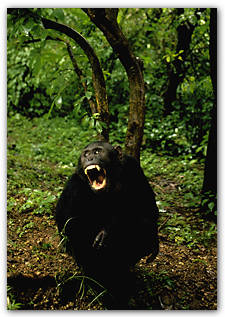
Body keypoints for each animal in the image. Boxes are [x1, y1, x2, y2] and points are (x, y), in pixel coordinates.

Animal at [55, 141, 159, 304]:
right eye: (86, 154)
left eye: (97, 152)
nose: (89, 158)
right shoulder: (73, 187)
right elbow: (68, 225)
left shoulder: (134, 167)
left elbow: (147, 207)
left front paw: (110, 230)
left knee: (144, 225)